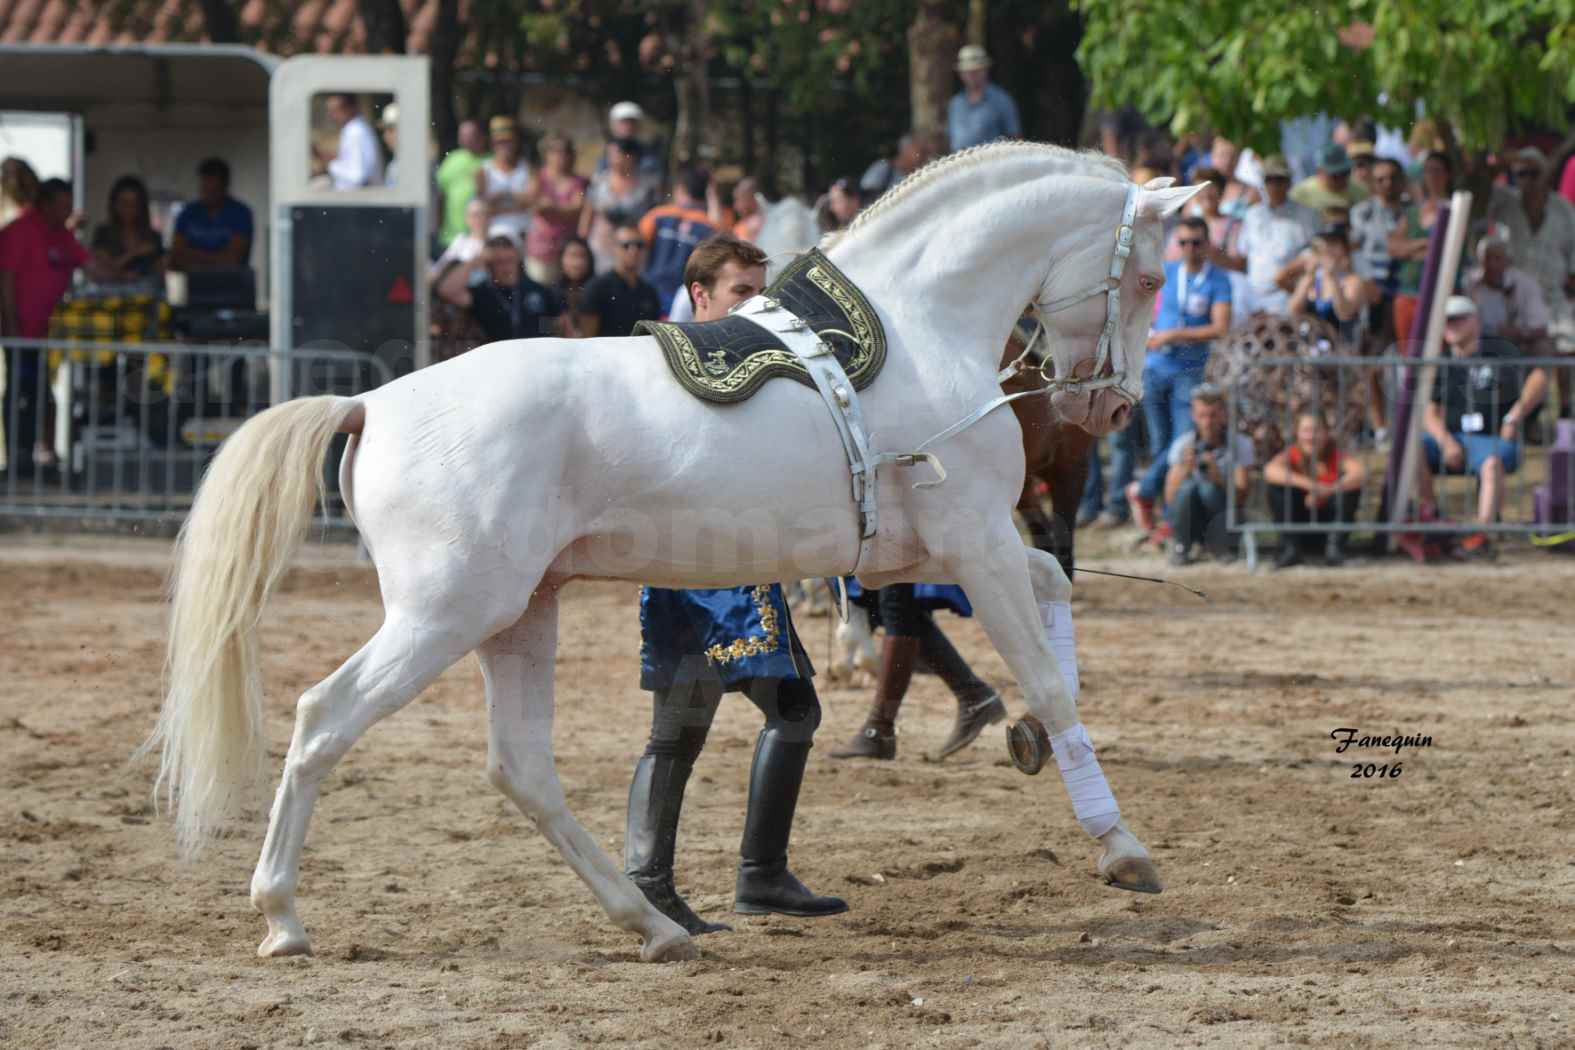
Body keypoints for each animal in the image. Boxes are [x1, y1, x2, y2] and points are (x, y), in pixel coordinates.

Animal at [150, 144, 1203, 963]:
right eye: (1152, 279)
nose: (1110, 408)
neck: (915, 331)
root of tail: (371, 401)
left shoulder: (928, 551)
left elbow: (1052, 588)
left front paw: (1024, 740)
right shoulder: (974, 540)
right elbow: (1051, 680)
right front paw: (1121, 846)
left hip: (519, 614)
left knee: (520, 767)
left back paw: (652, 925)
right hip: (444, 615)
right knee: (324, 719)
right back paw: (283, 919)